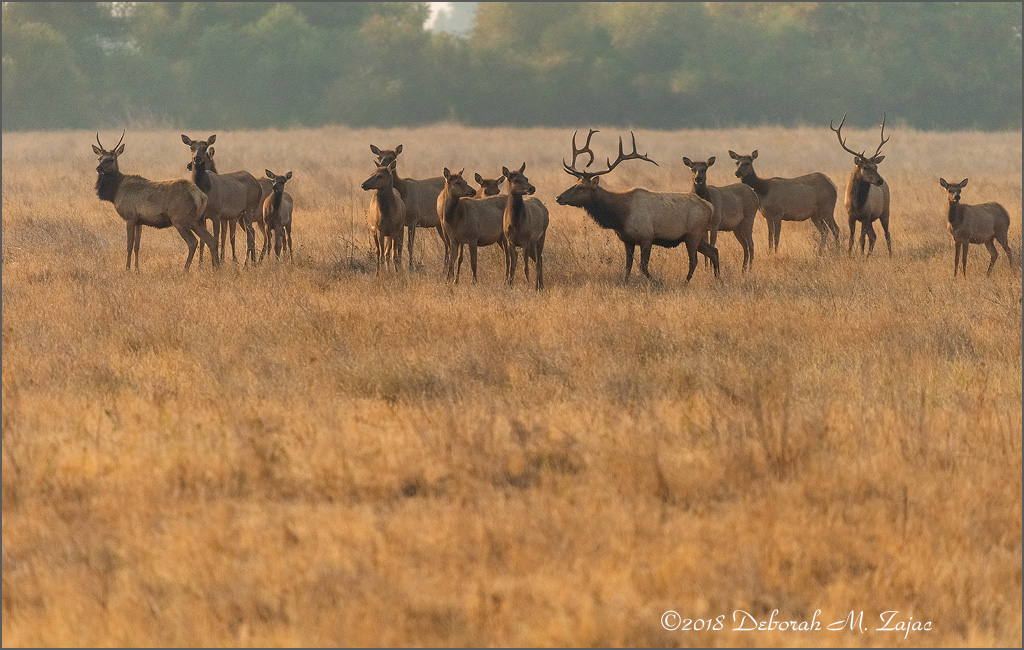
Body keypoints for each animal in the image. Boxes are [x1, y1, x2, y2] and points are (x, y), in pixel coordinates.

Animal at [92, 131, 216, 271]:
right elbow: (137, 246)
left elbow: (129, 245)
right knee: (211, 240)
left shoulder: (130, 217)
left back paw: (185, 270)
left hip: (179, 219)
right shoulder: (139, 221)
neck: (115, 192)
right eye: (99, 158)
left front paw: (127, 269)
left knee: (193, 242)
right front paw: (137, 269)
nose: (99, 168)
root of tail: (201, 196)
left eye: (111, 159)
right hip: (197, 219)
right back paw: (216, 268)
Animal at [181, 134, 263, 265]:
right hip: (242, 215)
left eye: (205, 147)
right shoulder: (202, 216)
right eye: (191, 147)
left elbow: (216, 238)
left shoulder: (217, 214)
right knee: (252, 232)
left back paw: (246, 264)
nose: (196, 158)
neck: (205, 189)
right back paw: (252, 262)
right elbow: (203, 239)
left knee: (250, 235)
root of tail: (258, 185)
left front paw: (217, 263)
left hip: (250, 209)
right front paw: (200, 264)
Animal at [556, 129, 718, 283]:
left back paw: (685, 282)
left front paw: (657, 283)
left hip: (694, 233)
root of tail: (710, 207)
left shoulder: (646, 237)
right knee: (714, 251)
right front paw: (625, 283)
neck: (620, 216)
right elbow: (628, 266)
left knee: (694, 260)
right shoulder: (628, 240)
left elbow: (643, 267)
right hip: (695, 236)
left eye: (581, 187)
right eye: (575, 183)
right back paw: (718, 279)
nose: (559, 197)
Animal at [830, 113, 892, 257]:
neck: (857, 203)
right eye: (865, 167)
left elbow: (861, 239)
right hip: (871, 219)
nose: (879, 181)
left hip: (885, 211)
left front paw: (861, 256)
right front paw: (850, 255)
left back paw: (890, 255)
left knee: (887, 234)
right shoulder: (851, 216)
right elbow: (852, 238)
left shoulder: (865, 215)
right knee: (873, 236)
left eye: (876, 166)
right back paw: (869, 256)